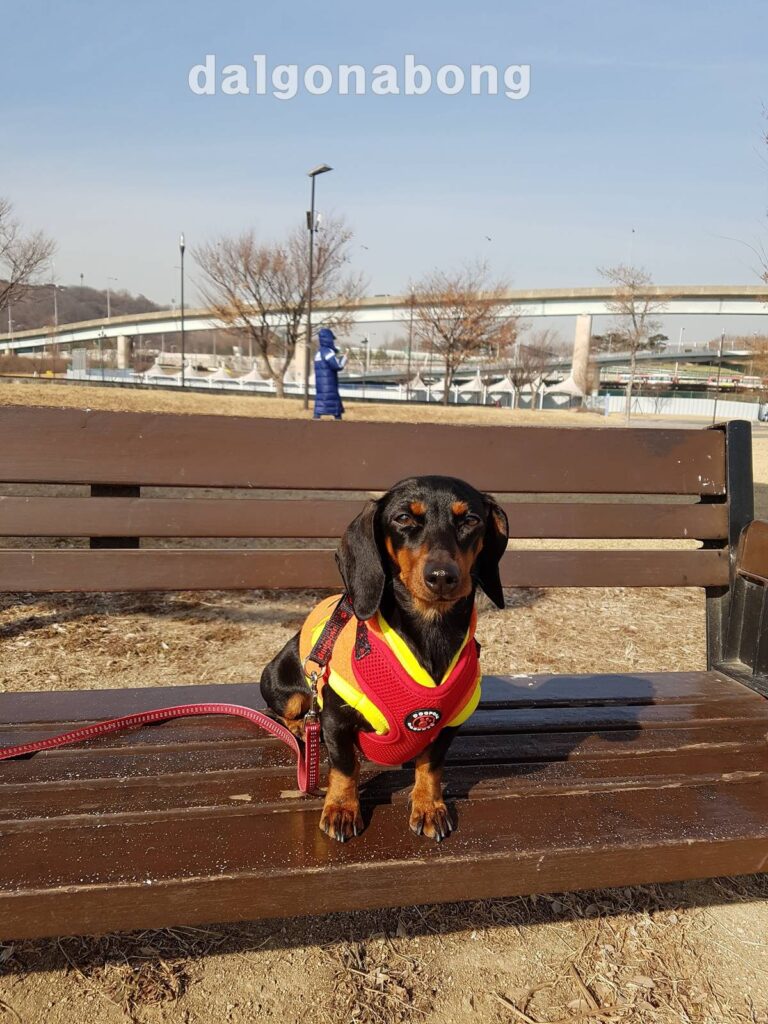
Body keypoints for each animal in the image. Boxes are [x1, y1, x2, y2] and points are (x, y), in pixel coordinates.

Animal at [262, 475, 507, 843]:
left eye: (471, 520)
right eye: (403, 518)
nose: (442, 577)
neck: (429, 630)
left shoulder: (450, 721)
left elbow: (431, 766)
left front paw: (429, 806)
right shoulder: (335, 719)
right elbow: (345, 767)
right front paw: (341, 809)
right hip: (284, 685)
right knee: (286, 711)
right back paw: (302, 728)